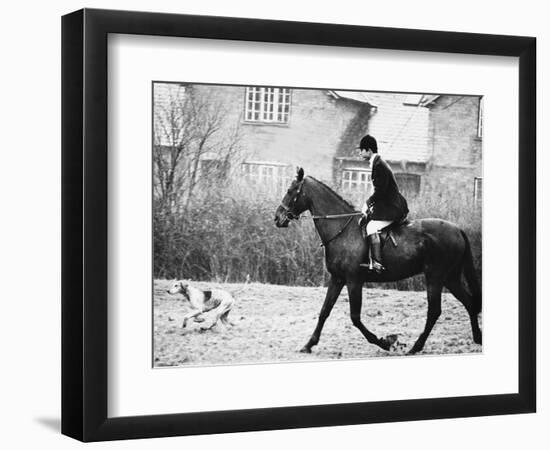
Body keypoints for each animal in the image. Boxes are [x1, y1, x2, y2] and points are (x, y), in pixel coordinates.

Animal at [276, 167, 484, 354]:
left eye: (290, 191)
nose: (277, 218)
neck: (342, 230)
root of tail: (457, 229)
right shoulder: (337, 278)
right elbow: (324, 311)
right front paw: (308, 344)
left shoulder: (353, 280)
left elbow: (355, 317)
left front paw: (386, 342)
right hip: (450, 277)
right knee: (469, 303)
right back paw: (477, 338)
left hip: (435, 276)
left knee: (435, 311)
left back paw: (416, 347)